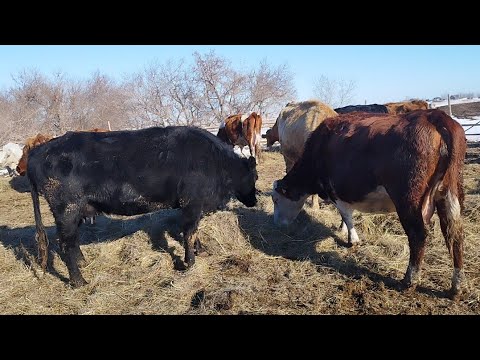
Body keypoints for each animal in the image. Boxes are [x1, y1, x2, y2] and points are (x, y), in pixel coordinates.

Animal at [25, 126, 258, 286]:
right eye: (255, 176)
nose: (254, 201)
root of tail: (39, 150)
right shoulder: (192, 203)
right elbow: (189, 232)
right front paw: (190, 262)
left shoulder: (194, 207)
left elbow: (194, 231)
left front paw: (200, 250)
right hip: (67, 210)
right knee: (65, 245)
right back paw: (79, 282)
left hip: (75, 212)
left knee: (72, 242)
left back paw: (83, 263)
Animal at [272, 109, 466, 298]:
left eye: (275, 200)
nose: (277, 225)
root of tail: (433, 116)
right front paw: (342, 229)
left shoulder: (335, 191)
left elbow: (346, 215)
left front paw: (352, 239)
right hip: (450, 193)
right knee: (455, 234)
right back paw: (456, 287)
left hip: (408, 199)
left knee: (418, 235)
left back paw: (409, 281)